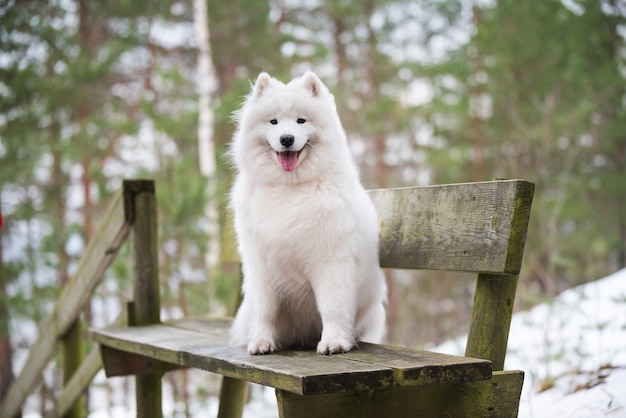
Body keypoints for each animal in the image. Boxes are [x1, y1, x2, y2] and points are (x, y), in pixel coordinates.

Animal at [228, 70, 386, 354]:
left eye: (301, 120)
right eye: (274, 122)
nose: (286, 138)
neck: (289, 187)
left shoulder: (331, 261)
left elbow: (332, 307)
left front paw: (334, 342)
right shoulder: (261, 267)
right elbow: (265, 310)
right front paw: (261, 341)